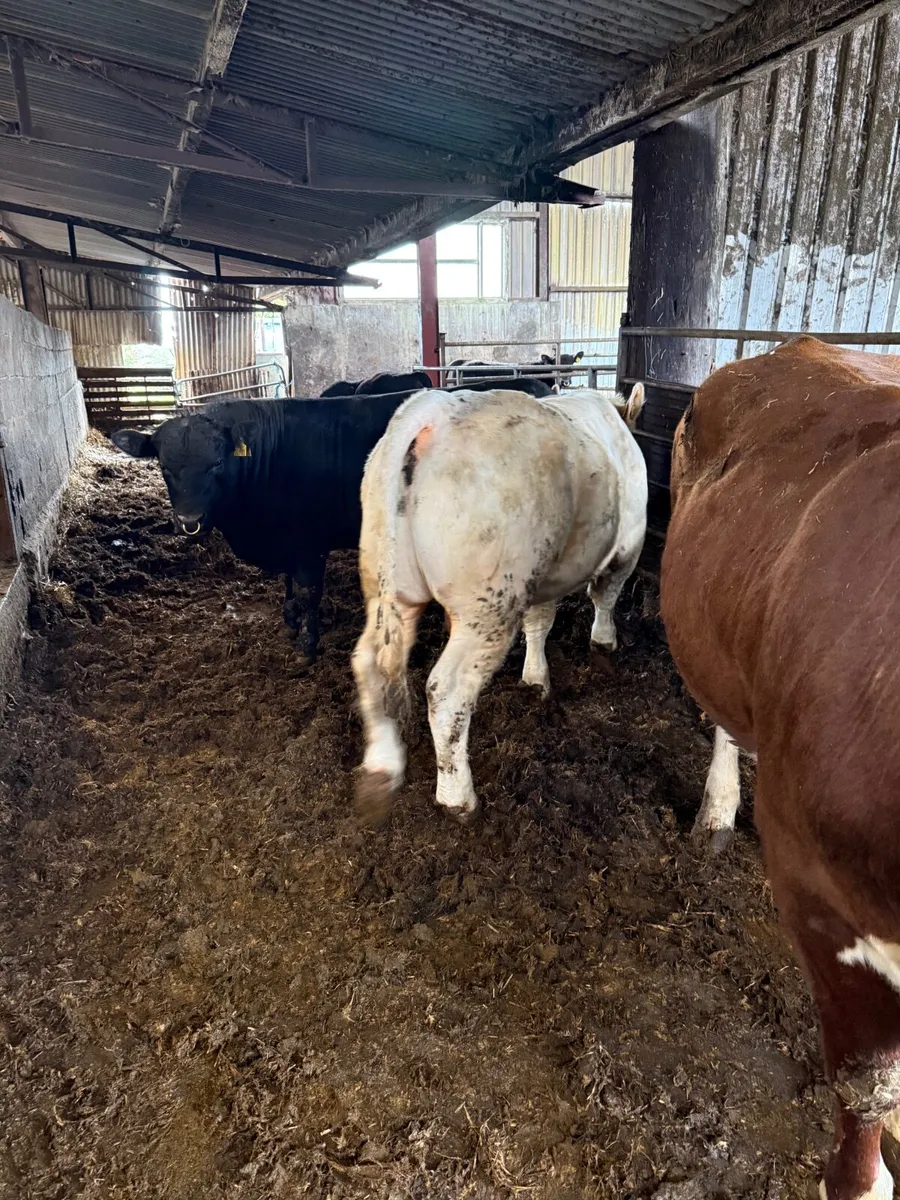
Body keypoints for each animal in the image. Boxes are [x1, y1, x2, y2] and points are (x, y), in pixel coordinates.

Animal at [110, 391, 424, 663]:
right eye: (164, 467)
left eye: (217, 463)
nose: (189, 521)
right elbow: (287, 581)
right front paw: (290, 620)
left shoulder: (310, 545)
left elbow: (309, 593)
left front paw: (307, 646)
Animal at [351, 383, 646, 827]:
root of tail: (431, 410)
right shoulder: (628, 543)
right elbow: (605, 597)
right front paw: (604, 643)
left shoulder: (544, 575)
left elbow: (540, 621)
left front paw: (535, 678)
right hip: (487, 608)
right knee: (447, 690)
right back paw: (458, 798)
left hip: (390, 587)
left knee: (371, 663)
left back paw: (382, 769)